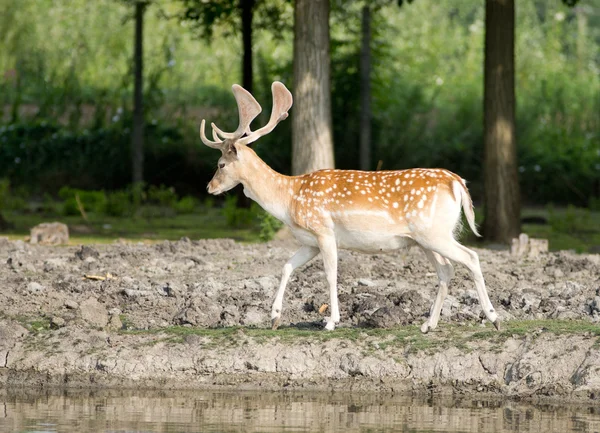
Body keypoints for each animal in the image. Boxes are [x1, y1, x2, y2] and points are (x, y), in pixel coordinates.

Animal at [203, 81, 502, 332]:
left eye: (221, 164)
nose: (209, 187)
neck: (289, 200)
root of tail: (457, 182)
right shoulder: (309, 241)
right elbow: (287, 266)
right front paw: (275, 317)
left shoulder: (324, 230)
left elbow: (330, 274)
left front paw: (330, 322)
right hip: (426, 238)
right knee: (446, 270)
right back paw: (429, 324)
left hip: (434, 232)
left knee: (471, 258)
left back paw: (493, 317)